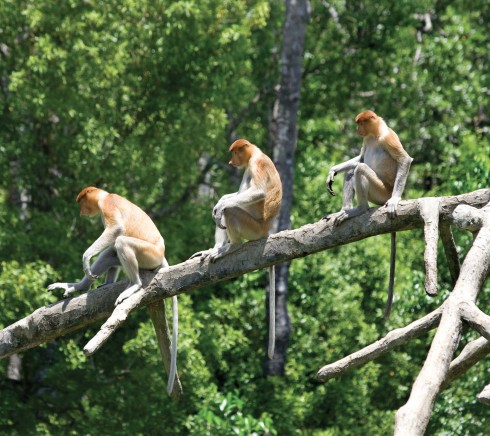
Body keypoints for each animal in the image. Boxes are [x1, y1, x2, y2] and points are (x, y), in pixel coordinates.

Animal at [46, 187, 178, 396]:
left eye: (82, 202)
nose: (82, 213)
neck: (105, 196)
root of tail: (162, 256)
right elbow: (111, 243)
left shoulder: (108, 205)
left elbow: (115, 229)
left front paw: (86, 258)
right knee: (111, 251)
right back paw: (78, 286)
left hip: (148, 255)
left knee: (121, 242)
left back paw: (134, 285)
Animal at [191, 139, 284, 358]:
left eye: (234, 153)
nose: (231, 161)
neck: (255, 154)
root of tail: (267, 230)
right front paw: (220, 200)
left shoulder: (256, 165)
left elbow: (257, 192)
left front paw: (220, 204)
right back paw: (214, 248)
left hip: (253, 227)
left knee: (231, 210)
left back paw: (231, 246)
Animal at [326, 110, 414, 318]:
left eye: (360, 123)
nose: (358, 130)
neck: (375, 135)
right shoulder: (366, 141)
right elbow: (360, 157)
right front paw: (333, 171)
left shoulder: (388, 138)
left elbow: (404, 160)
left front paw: (395, 201)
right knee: (352, 170)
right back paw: (344, 211)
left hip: (381, 191)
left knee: (361, 169)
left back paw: (360, 209)